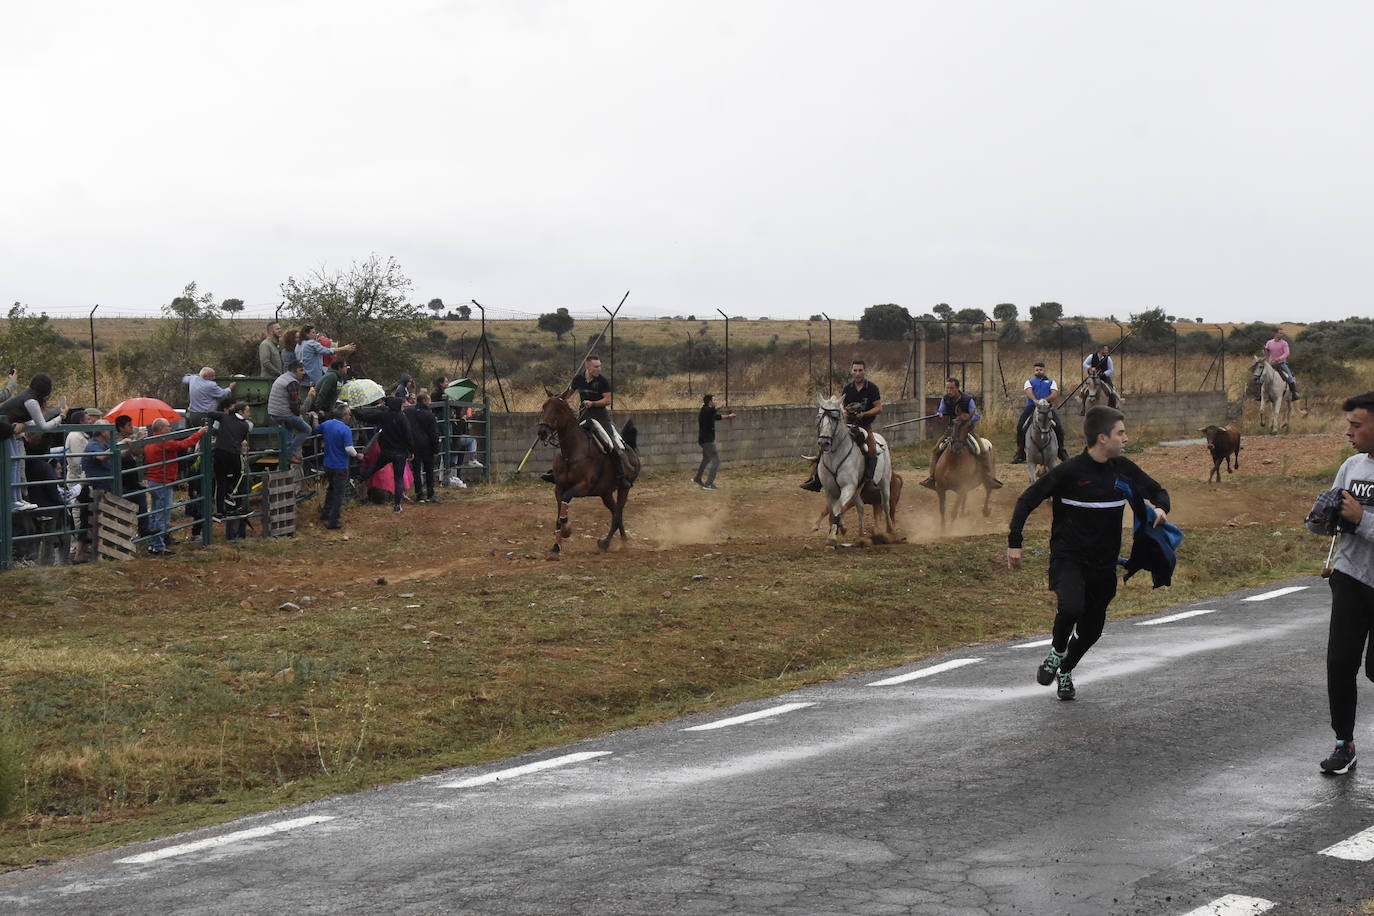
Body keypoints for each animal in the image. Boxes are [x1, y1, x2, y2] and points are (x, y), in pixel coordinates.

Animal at [538, 395, 640, 560]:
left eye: (558, 409)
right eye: (544, 407)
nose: (542, 432)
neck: (572, 453)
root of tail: (631, 451)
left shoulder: (583, 487)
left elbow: (565, 503)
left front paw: (566, 530)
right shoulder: (558, 487)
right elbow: (559, 512)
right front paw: (556, 546)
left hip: (624, 488)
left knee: (617, 514)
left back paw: (605, 543)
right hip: (605, 493)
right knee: (616, 513)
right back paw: (623, 540)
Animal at [807, 392, 895, 549]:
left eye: (835, 417)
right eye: (819, 416)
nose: (824, 442)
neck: (835, 455)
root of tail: (880, 438)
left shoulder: (848, 487)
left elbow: (837, 508)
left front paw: (832, 539)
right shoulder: (830, 490)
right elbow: (833, 511)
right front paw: (839, 529)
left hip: (884, 483)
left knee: (885, 505)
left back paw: (890, 532)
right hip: (857, 491)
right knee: (860, 507)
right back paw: (861, 537)